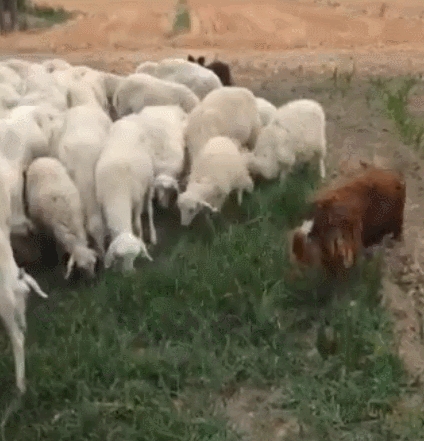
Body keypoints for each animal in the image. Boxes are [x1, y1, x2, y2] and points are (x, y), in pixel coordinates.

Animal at [95, 116, 156, 272]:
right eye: (120, 256)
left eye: (135, 257)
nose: (129, 273)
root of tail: (130, 118)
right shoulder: (103, 206)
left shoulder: (137, 201)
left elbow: (137, 224)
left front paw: (142, 238)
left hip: (150, 178)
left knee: (149, 206)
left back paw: (153, 235)